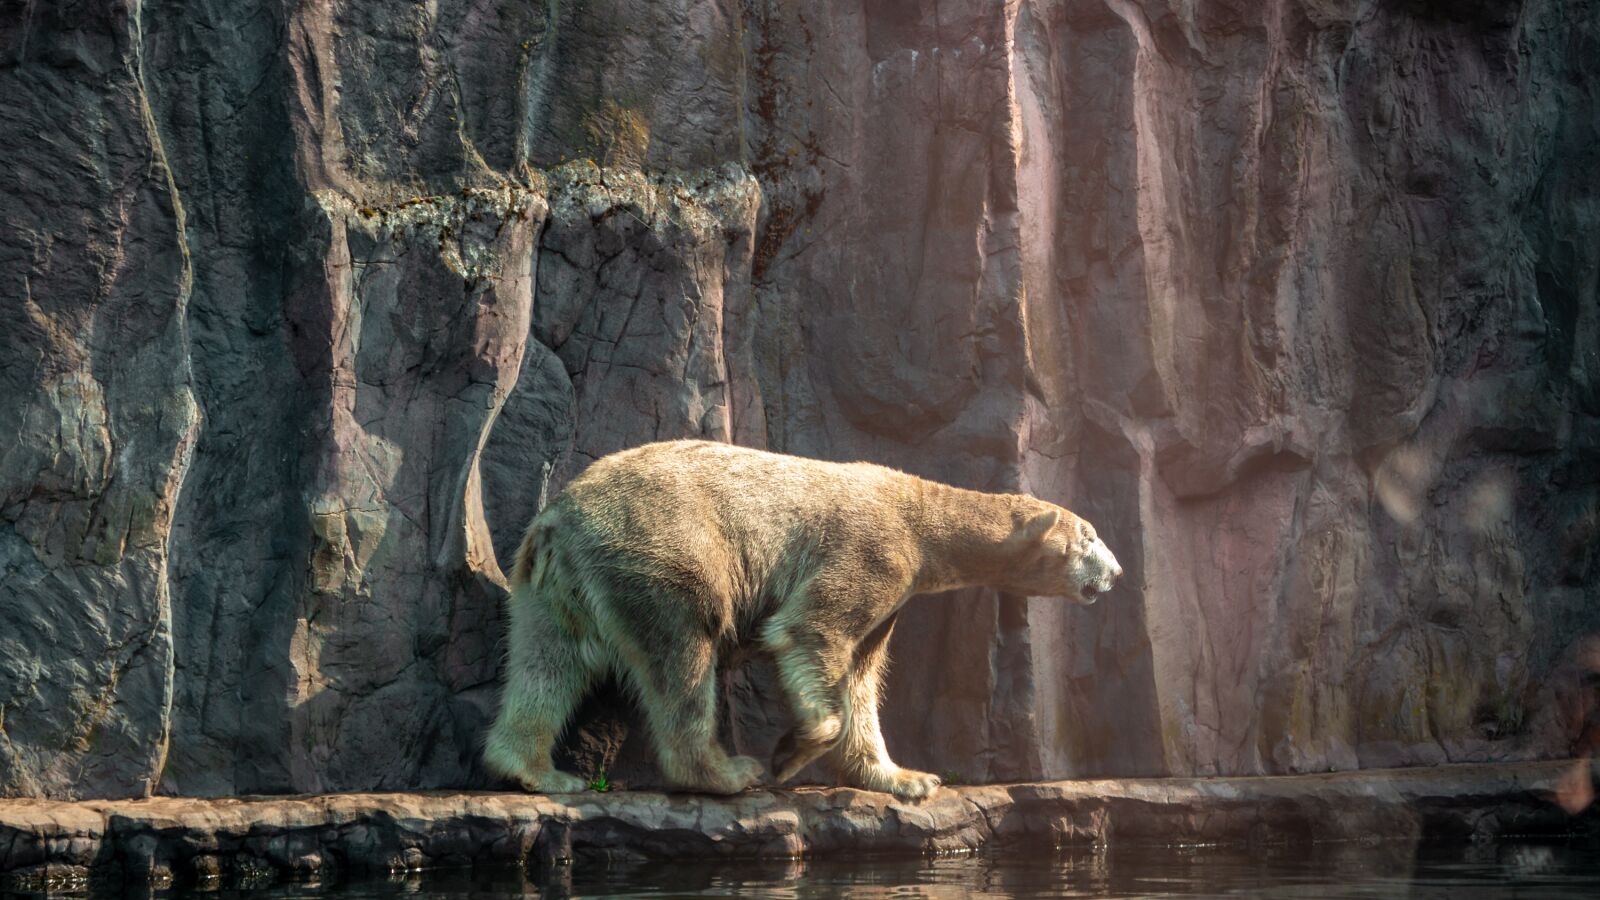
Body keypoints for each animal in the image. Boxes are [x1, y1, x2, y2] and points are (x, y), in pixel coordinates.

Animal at [483, 440, 1122, 801]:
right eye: (1090, 535)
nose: (1116, 572)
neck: (920, 516)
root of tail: (558, 518)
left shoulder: (893, 596)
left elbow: (862, 677)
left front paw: (906, 778)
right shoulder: (872, 552)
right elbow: (810, 632)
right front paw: (790, 753)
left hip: (553, 584)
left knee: (548, 661)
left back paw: (535, 770)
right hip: (661, 549)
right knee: (682, 653)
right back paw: (726, 770)